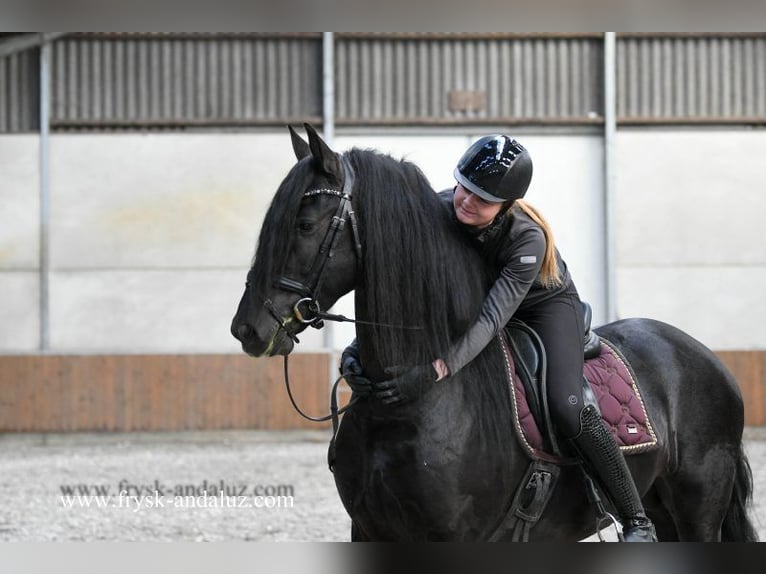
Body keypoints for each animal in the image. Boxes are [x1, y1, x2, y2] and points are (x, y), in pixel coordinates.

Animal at [231, 124, 758, 541]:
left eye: (304, 224)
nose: (248, 329)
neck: (409, 406)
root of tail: (704, 355)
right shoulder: (368, 529)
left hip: (697, 508)